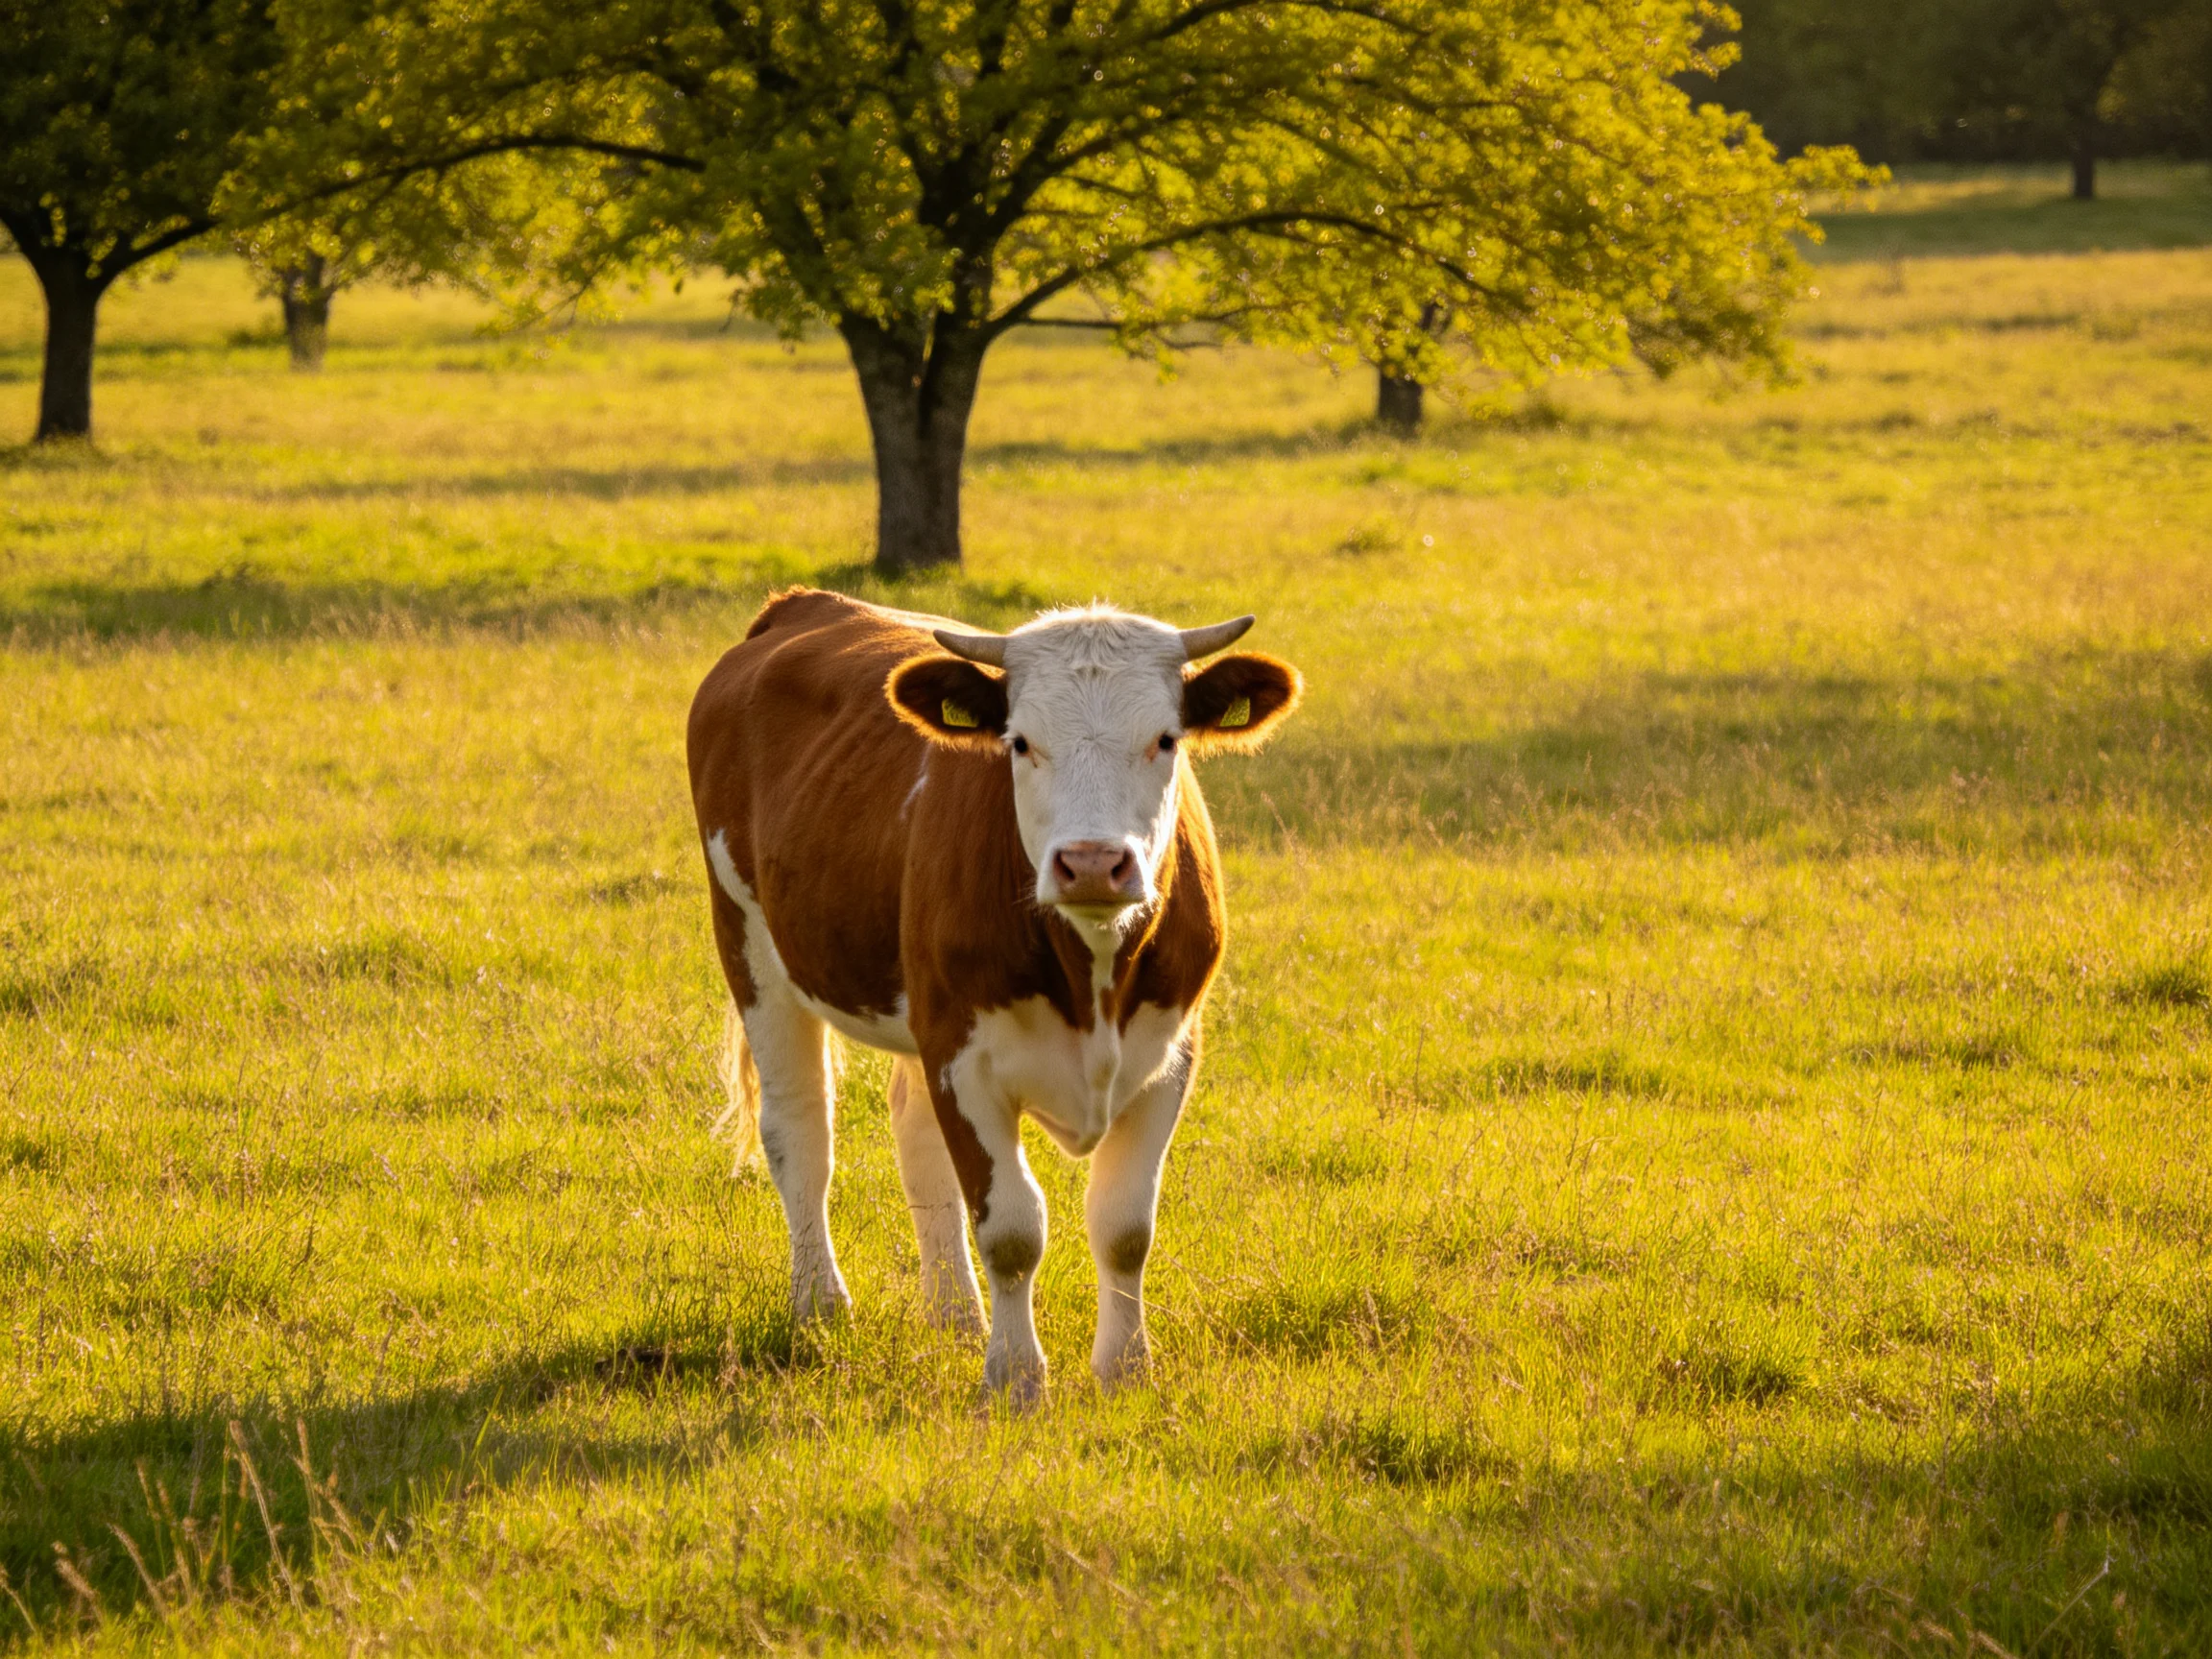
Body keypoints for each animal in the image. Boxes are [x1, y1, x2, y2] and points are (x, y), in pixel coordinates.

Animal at [686, 588, 1301, 1401]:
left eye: (1166, 740)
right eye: (1020, 743)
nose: (1093, 863)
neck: (1090, 970)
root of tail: (804, 605)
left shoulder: (1169, 1052)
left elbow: (1125, 1226)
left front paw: (1124, 1371)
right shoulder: (962, 1055)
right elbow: (1011, 1228)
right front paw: (1015, 1379)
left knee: (915, 1134)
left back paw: (954, 1315)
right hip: (751, 944)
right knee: (801, 1133)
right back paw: (821, 1304)